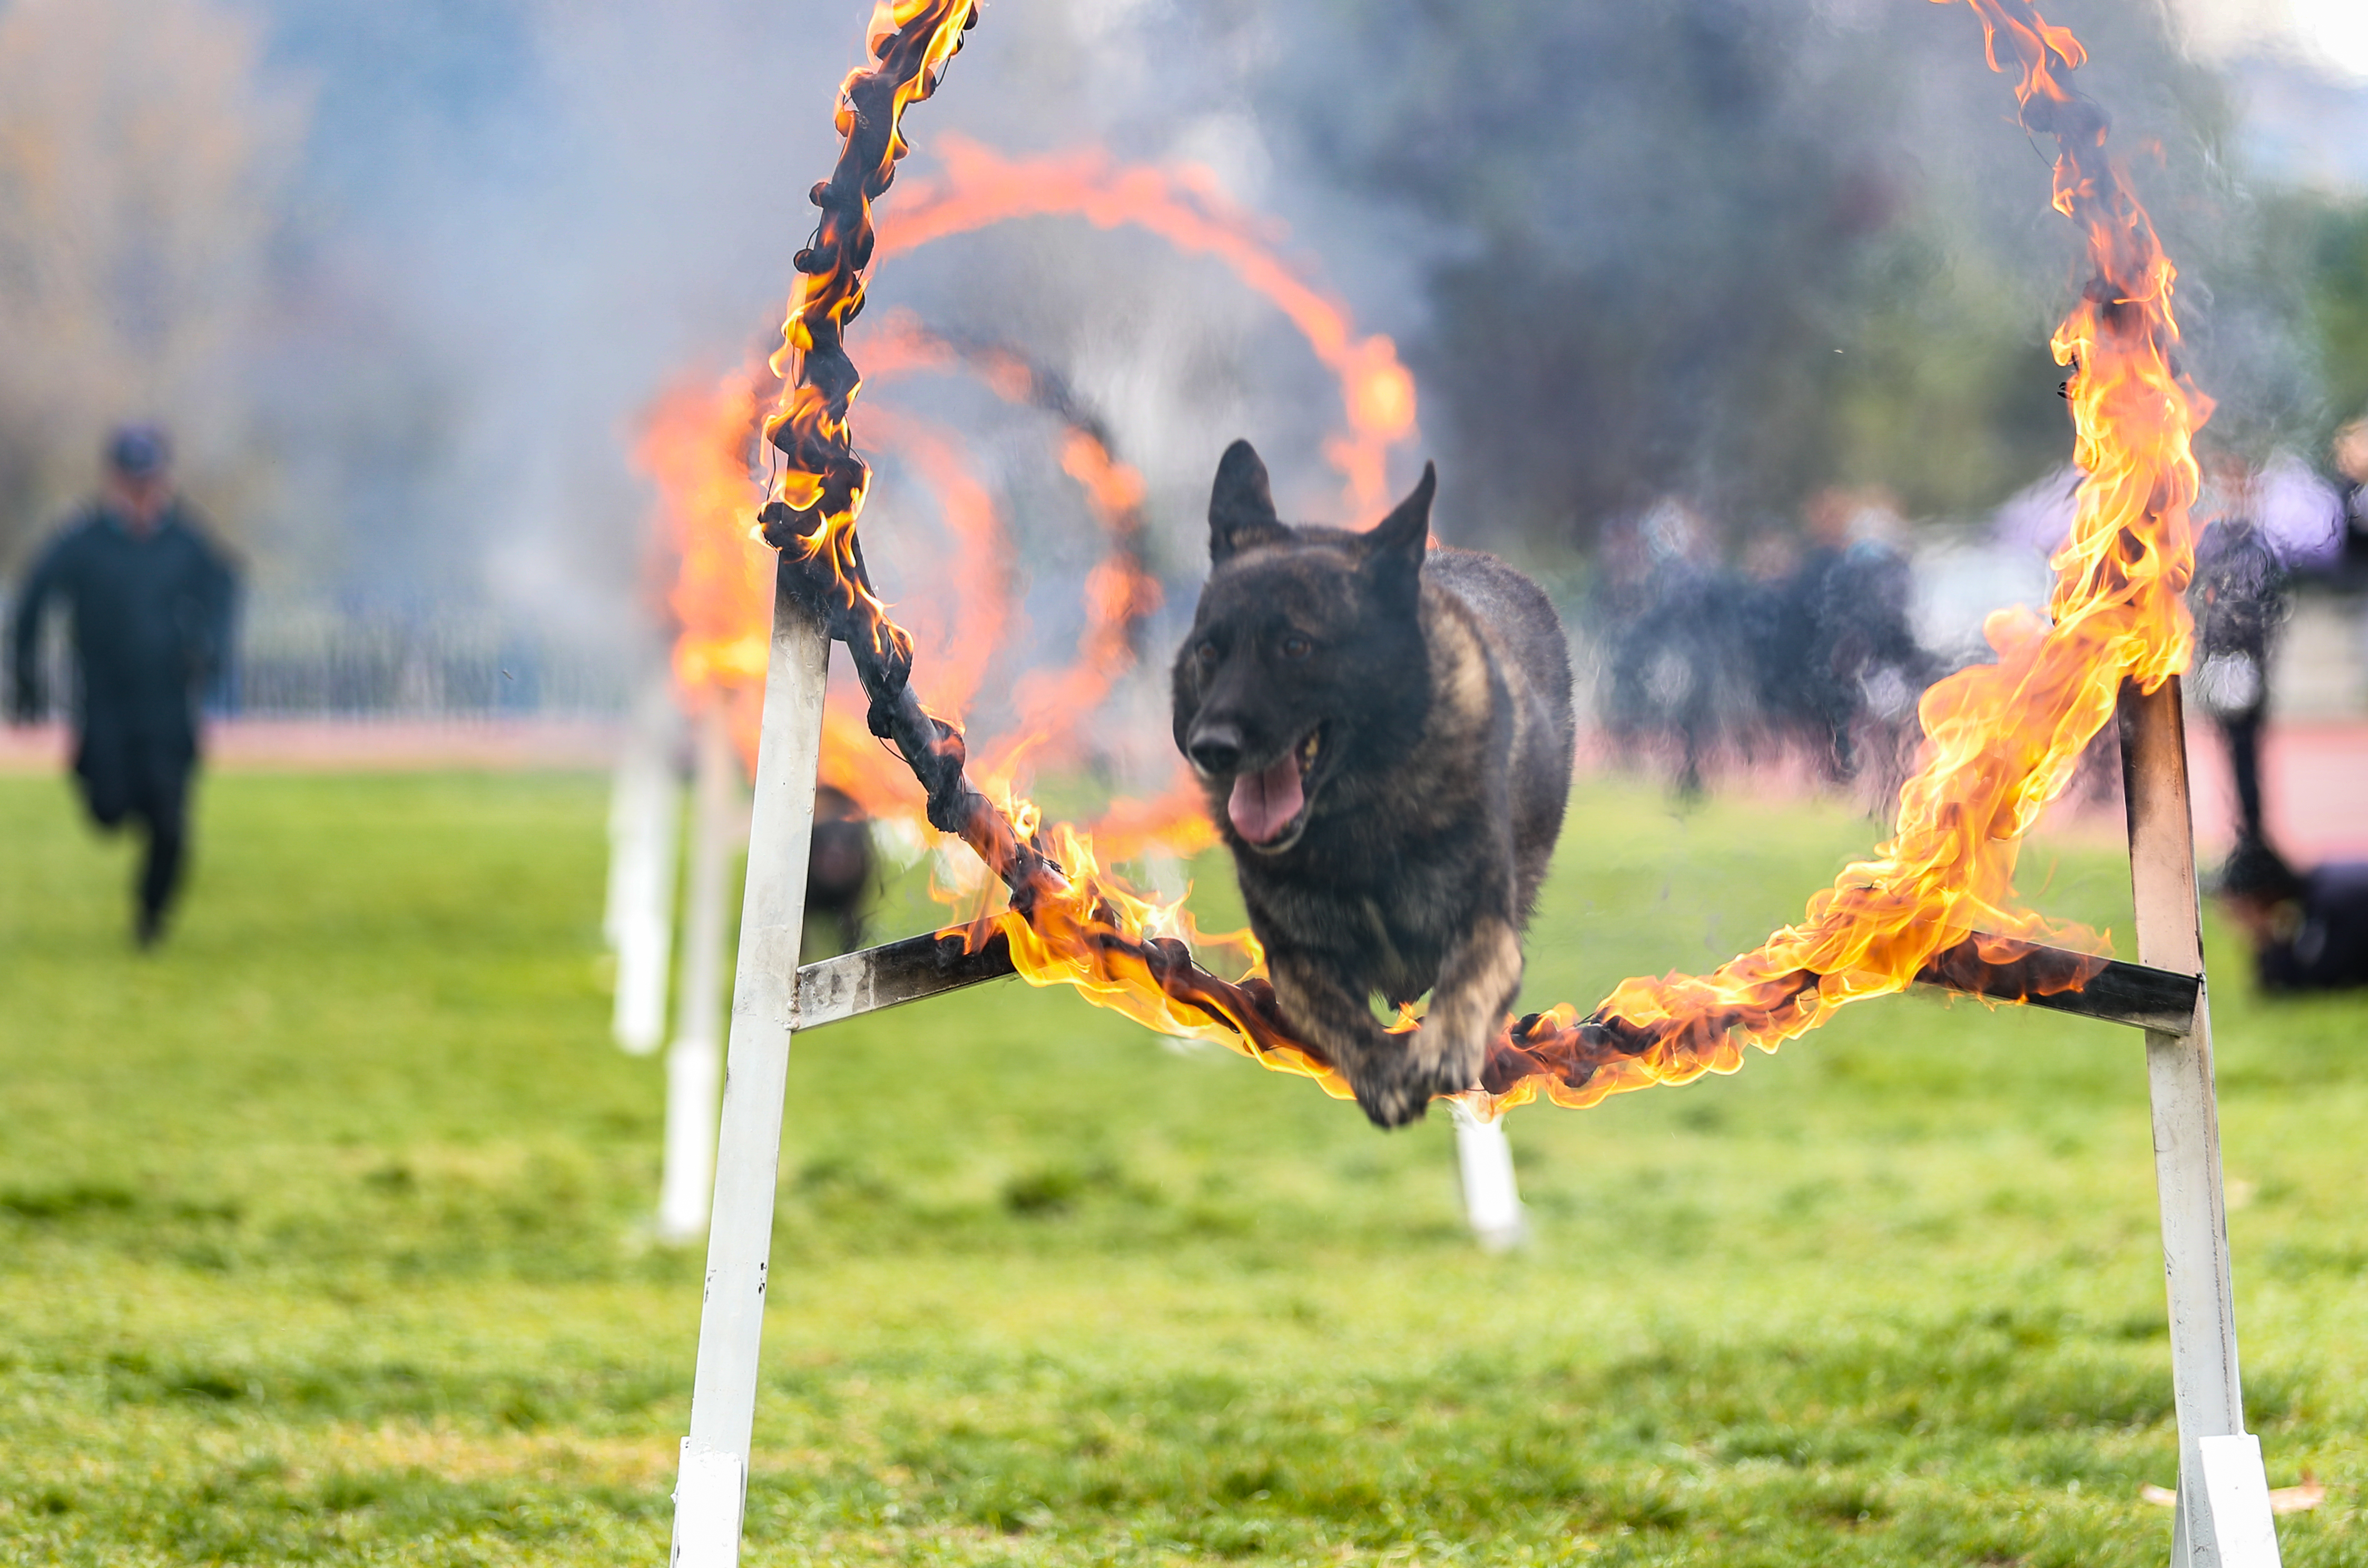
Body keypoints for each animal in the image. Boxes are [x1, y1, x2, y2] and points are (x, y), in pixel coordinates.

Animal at [1170, 442, 1572, 1132]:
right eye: (1209, 651)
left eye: (1296, 645)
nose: (1211, 748)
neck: (1354, 820)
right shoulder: (1297, 961)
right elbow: (1342, 1020)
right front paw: (1384, 1076)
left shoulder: (1486, 927)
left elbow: (1467, 982)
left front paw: (1443, 1049)